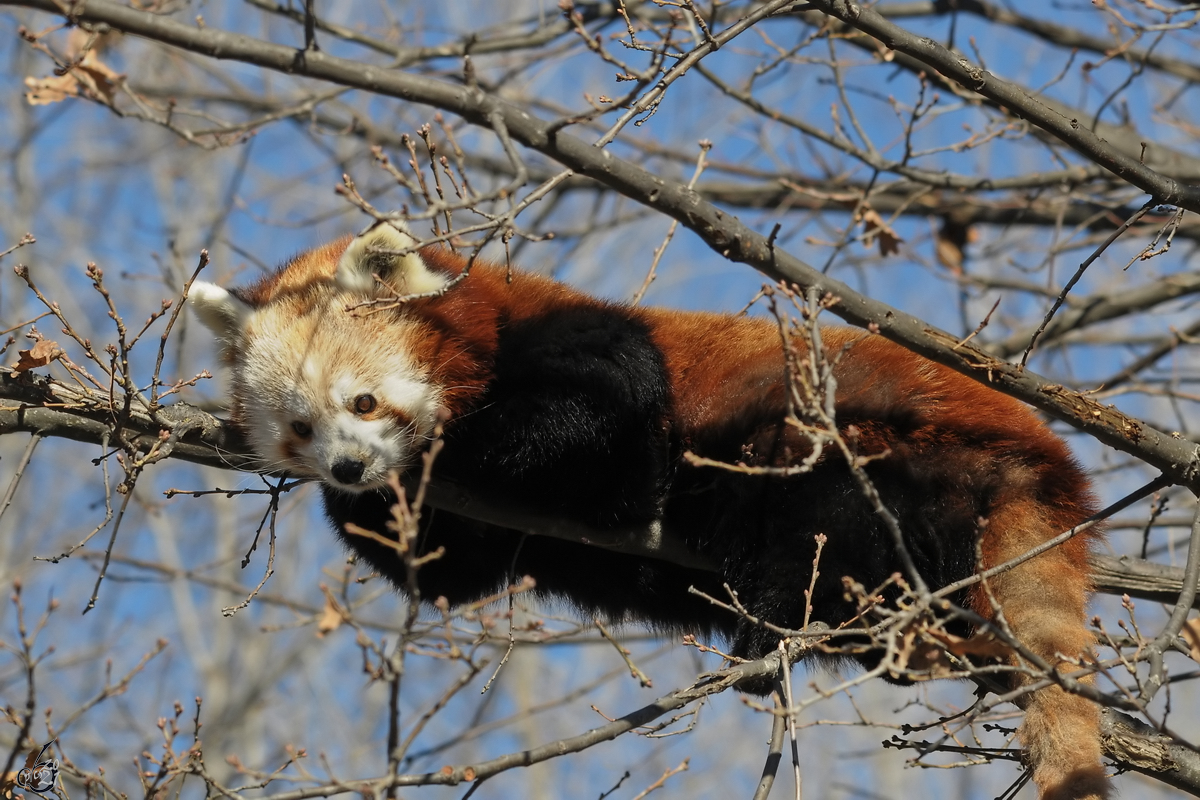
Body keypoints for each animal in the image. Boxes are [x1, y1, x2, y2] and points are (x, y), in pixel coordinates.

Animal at [194, 220, 1104, 800]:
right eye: (300, 428)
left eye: (365, 400)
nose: (349, 467)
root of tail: (1045, 458)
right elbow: (459, 576)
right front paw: (370, 502)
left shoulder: (595, 354)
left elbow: (599, 419)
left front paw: (440, 454)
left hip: (876, 447)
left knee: (816, 512)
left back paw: (773, 626)